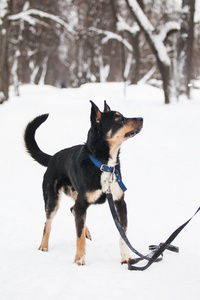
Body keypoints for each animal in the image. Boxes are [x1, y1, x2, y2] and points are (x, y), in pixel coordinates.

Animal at [24, 101, 143, 264]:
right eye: (118, 119)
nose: (141, 119)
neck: (103, 165)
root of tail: (53, 157)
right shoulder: (83, 203)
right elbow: (79, 237)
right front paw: (79, 260)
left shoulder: (119, 202)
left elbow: (123, 234)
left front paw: (126, 258)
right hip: (53, 200)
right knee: (48, 223)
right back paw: (43, 247)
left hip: (76, 196)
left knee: (73, 209)